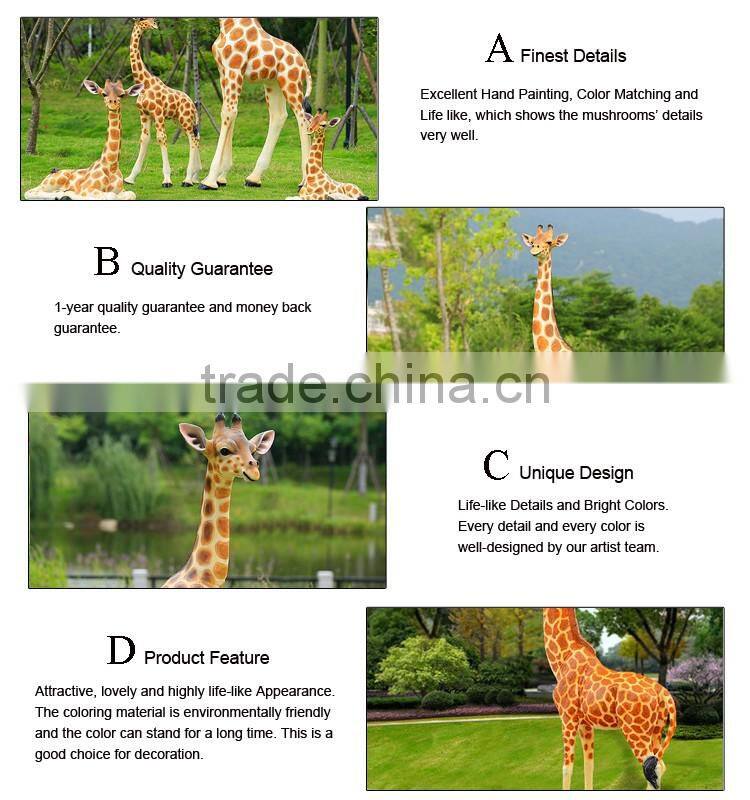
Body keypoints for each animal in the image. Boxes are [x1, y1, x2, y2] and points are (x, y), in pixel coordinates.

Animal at [124, 18, 201, 188]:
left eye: (152, 20)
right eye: (144, 19)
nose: (155, 23)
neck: (144, 82)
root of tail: (193, 104)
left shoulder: (158, 113)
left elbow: (161, 138)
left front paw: (167, 180)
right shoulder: (144, 114)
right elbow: (144, 139)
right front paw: (130, 178)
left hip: (185, 119)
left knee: (193, 140)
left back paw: (187, 179)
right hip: (180, 120)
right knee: (195, 138)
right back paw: (195, 176)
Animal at [199, 18, 313, 190]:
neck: (228, 24)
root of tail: (304, 64)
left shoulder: (234, 68)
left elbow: (229, 112)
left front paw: (209, 181)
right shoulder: (223, 72)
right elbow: (229, 112)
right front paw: (221, 178)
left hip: (290, 83)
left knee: (303, 120)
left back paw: (305, 181)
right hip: (273, 84)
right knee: (279, 116)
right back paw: (253, 178)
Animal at [543, 608, 677, 790]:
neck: (562, 660)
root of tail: (661, 691)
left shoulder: (567, 718)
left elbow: (566, 768)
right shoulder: (585, 724)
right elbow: (589, 765)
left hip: (635, 730)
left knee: (654, 766)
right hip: (656, 729)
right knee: (658, 765)